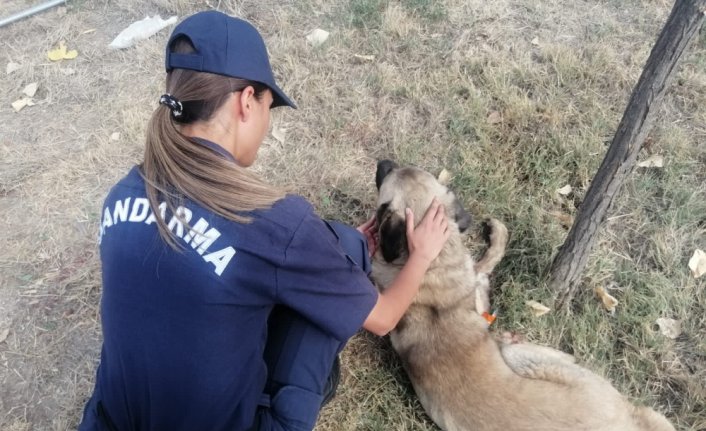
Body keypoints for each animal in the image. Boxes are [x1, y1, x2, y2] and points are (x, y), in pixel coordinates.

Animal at [368, 160, 672, 431]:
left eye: (395, 170)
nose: (382, 161)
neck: (433, 261)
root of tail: (629, 420)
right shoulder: (477, 288)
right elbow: (487, 262)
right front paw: (499, 235)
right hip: (524, 358)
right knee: (554, 355)